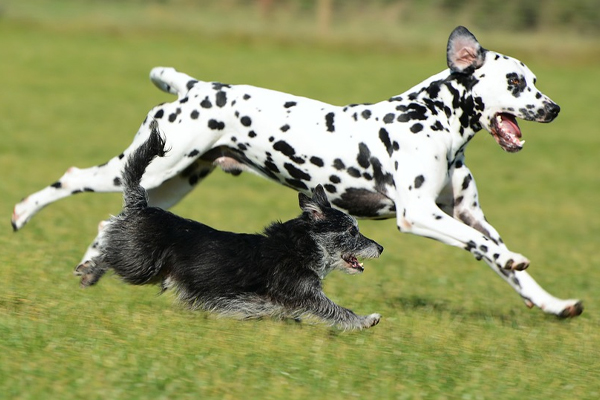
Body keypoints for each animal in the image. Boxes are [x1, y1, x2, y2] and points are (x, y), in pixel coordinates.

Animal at [12, 26, 580, 318]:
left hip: (170, 185)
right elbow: (493, 250)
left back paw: (91, 266)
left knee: (110, 218)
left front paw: (554, 303)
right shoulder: (418, 215)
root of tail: (194, 86)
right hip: (149, 171)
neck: (432, 120)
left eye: (534, 80)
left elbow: (507, 267)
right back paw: (21, 214)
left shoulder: (467, 217)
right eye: (515, 81)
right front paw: (514, 259)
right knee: (72, 179)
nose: (554, 108)